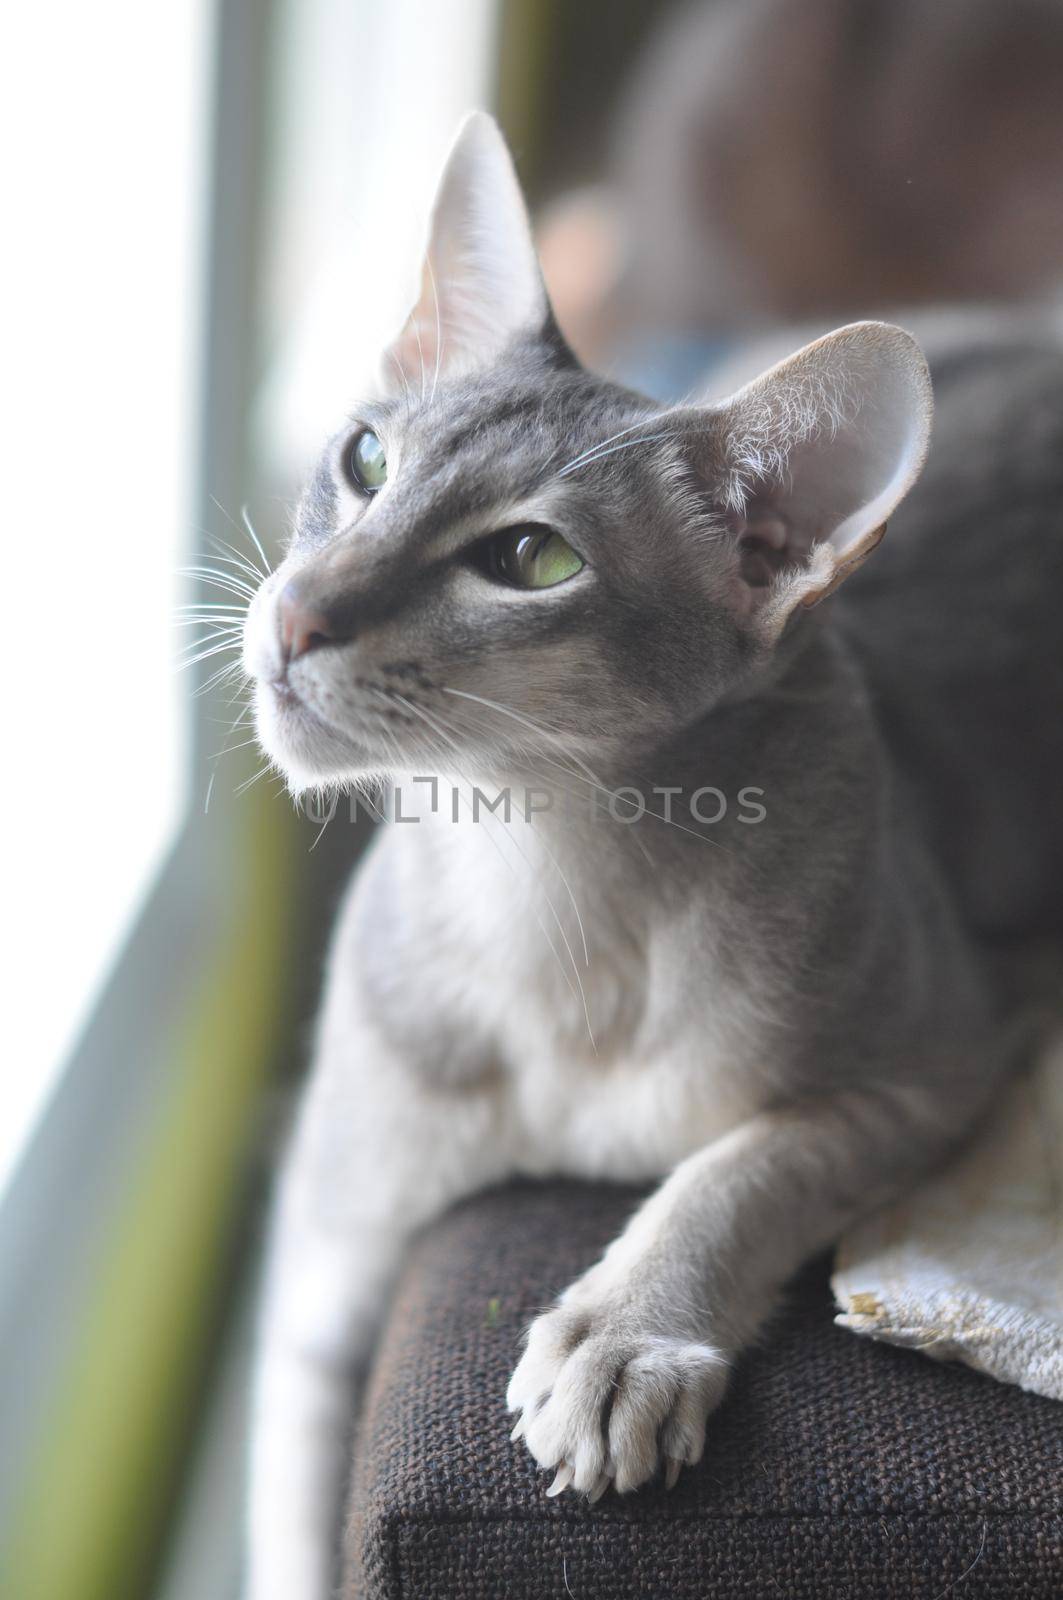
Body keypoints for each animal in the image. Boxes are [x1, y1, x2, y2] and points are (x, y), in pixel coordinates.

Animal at [238, 116, 1063, 1600]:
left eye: (529, 558)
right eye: (366, 460)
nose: (293, 617)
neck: (539, 883)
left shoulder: (945, 1056)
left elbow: (739, 1167)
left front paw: (621, 1336)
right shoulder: (321, 1279)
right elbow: (285, 1525)